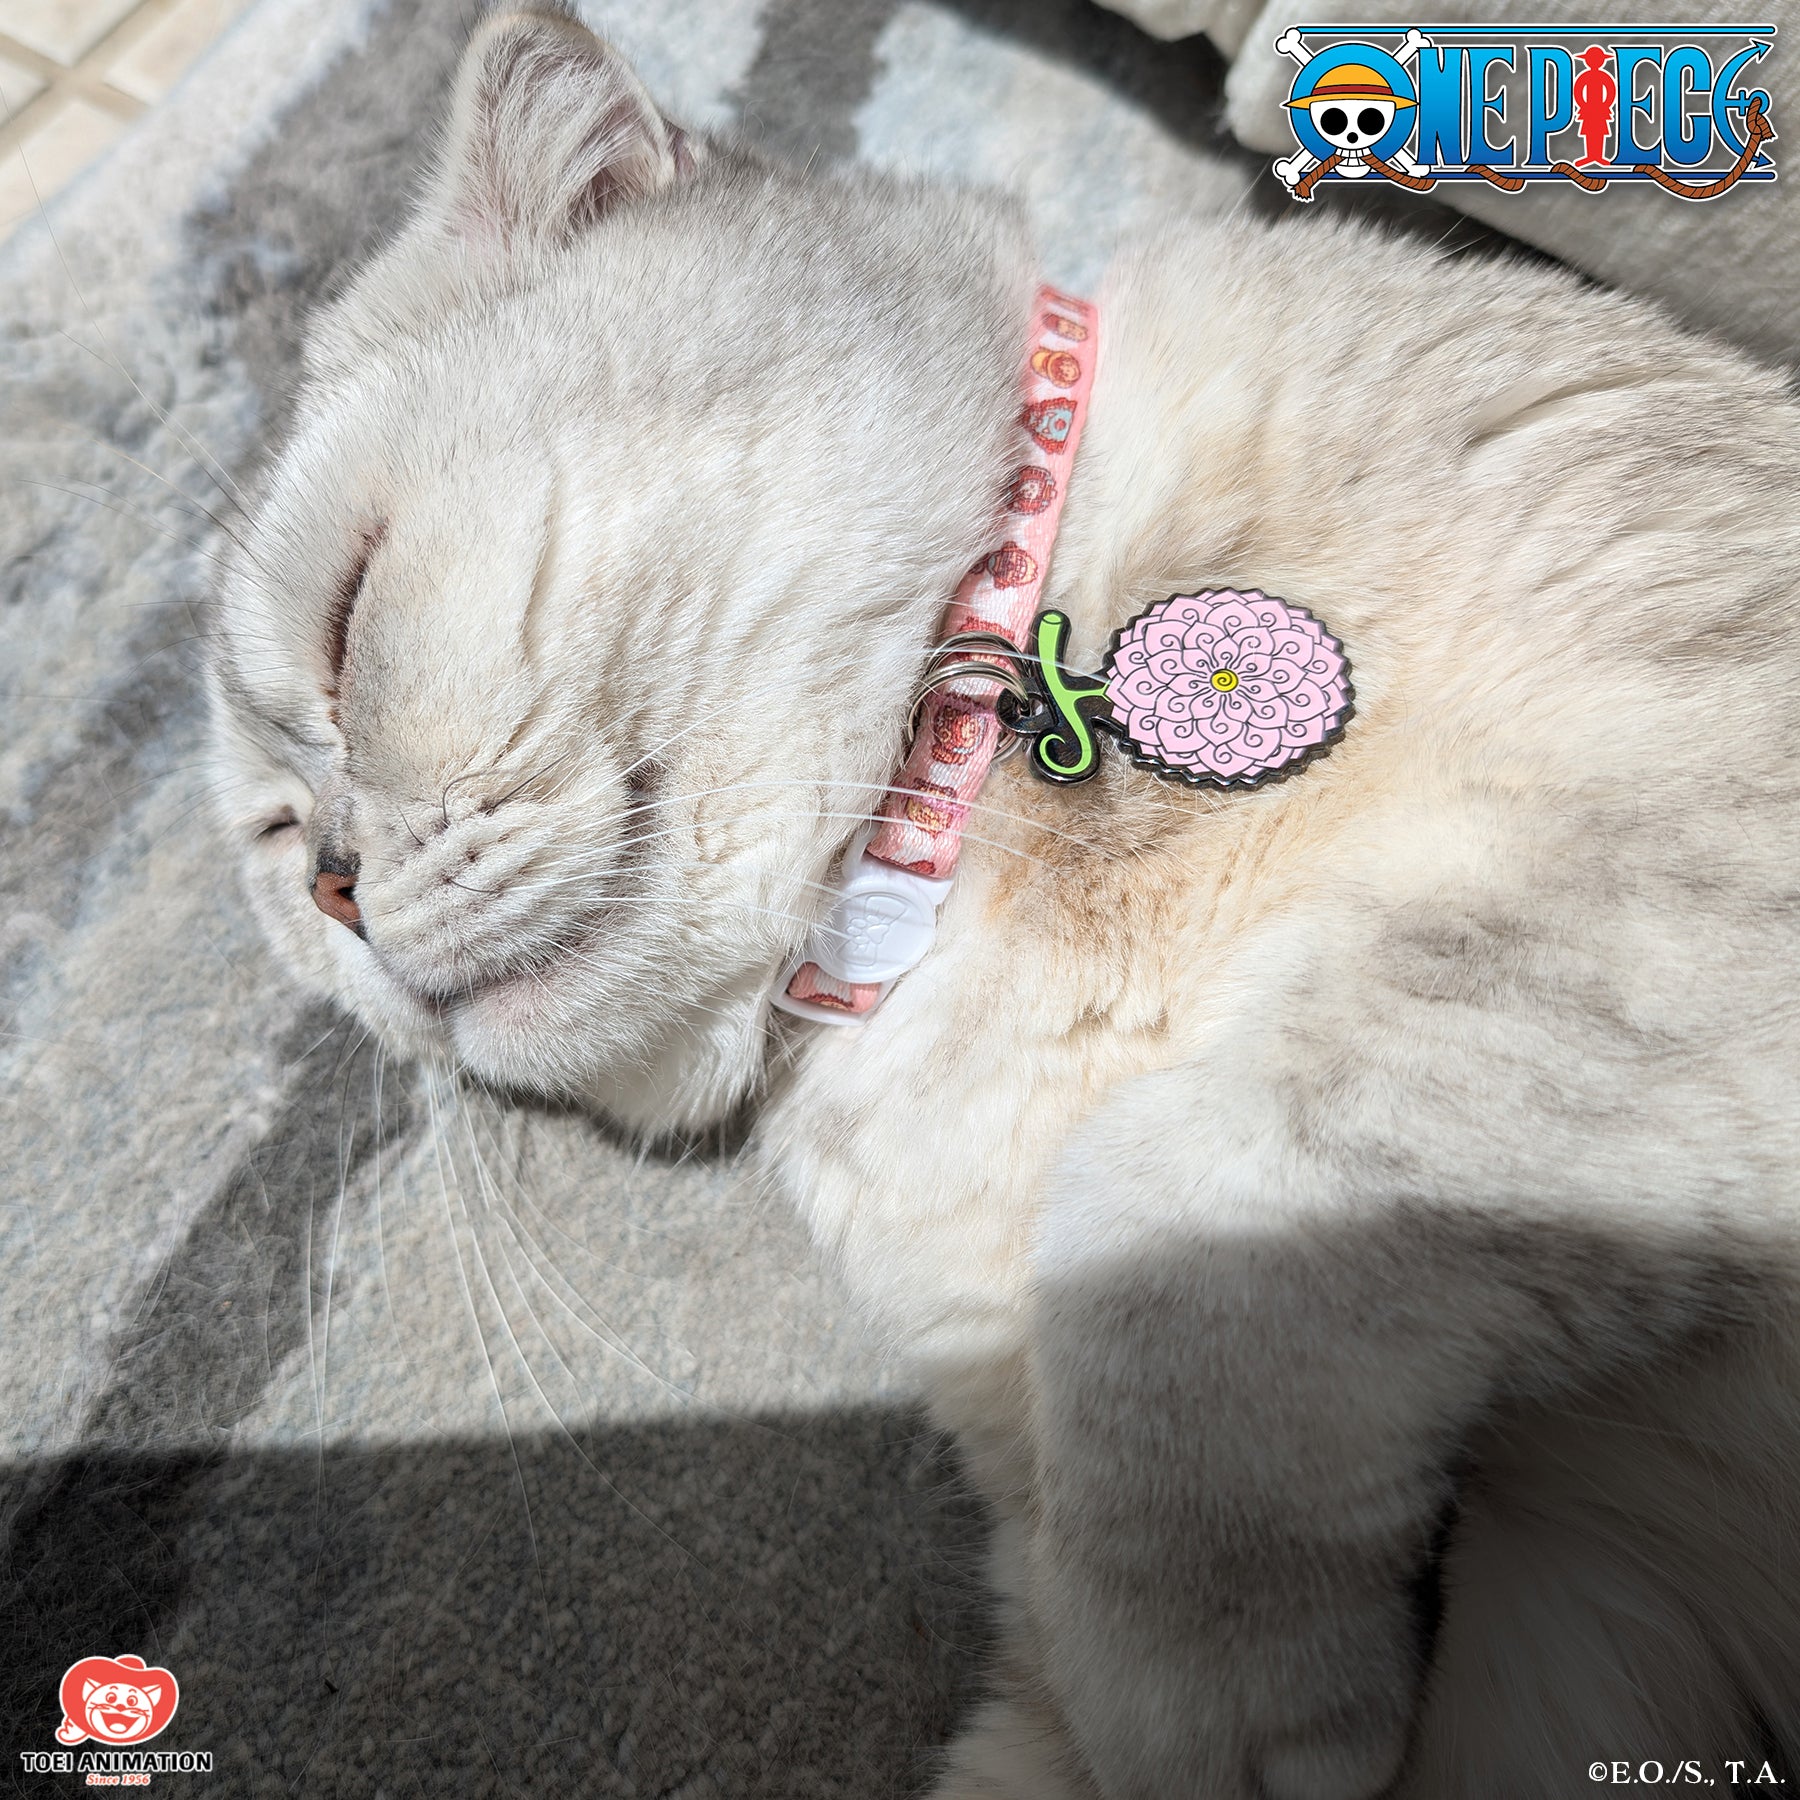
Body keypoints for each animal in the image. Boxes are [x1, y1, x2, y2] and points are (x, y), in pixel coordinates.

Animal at [210, 7, 1800, 1792]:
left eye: (348, 620)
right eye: (276, 842)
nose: (334, 886)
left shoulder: (1653, 875)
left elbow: (1166, 1235)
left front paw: (1228, 1715)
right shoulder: (1576, 1621)